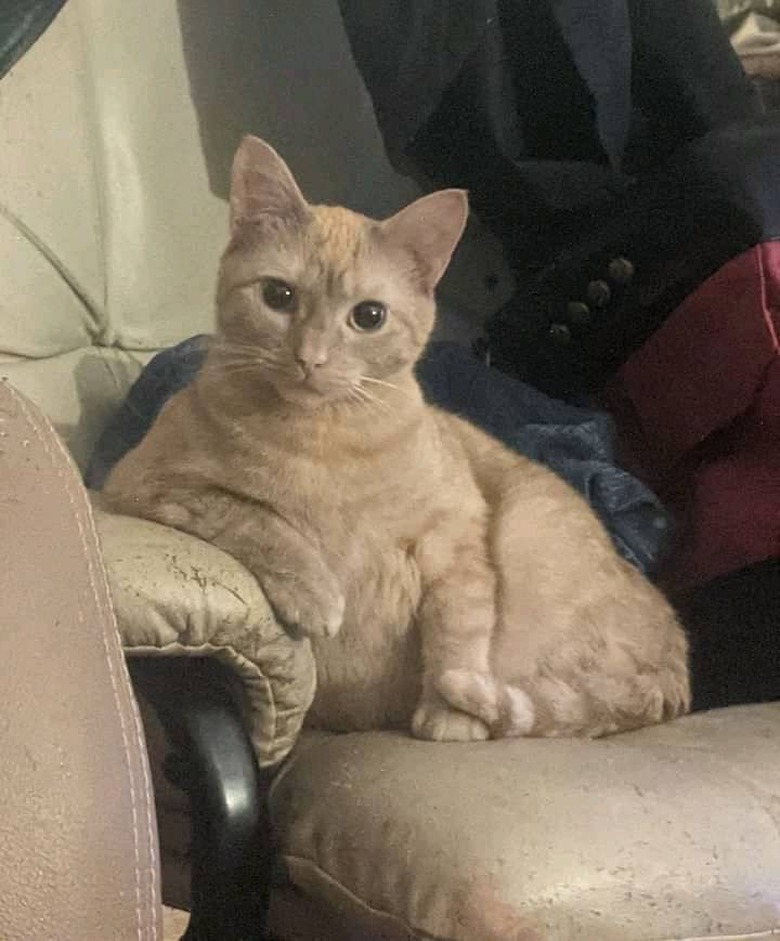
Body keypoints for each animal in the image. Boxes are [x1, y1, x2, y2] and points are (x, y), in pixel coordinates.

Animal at [102, 136, 688, 740]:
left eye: (369, 315)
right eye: (278, 295)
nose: (310, 358)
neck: (321, 439)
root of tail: (676, 664)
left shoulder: (456, 536)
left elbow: (459, 628)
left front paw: (450, 711)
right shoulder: (145, 482)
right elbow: (256, 518)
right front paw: (315, 592)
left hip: (530, 528)